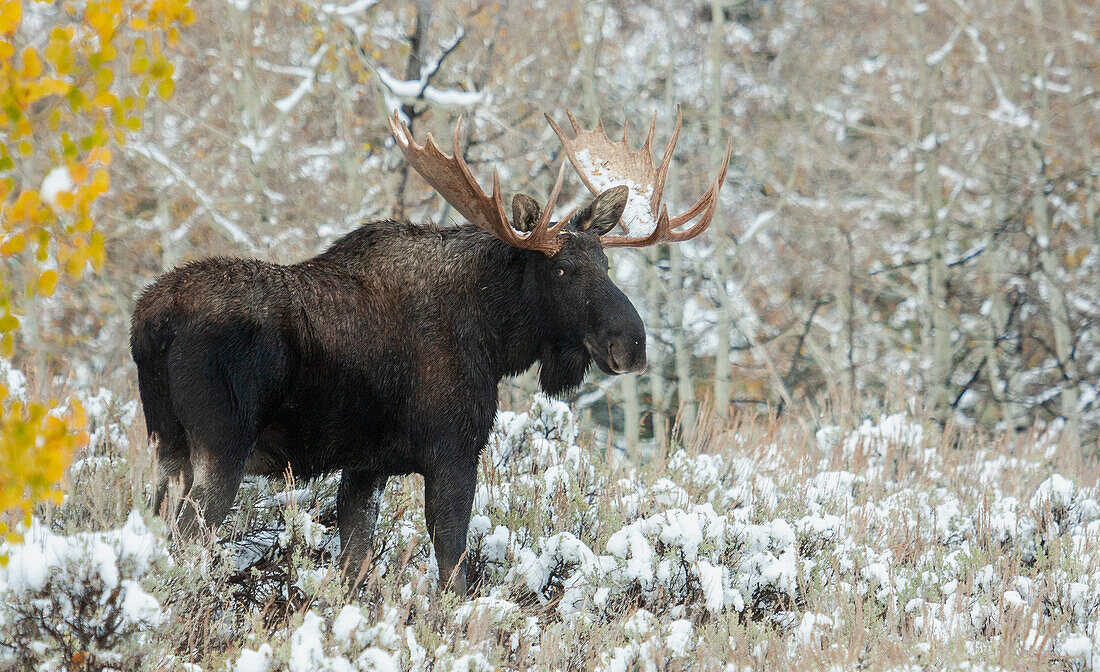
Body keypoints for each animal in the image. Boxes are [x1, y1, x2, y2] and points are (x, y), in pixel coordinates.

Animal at [130, 106, 730, 593]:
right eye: (561, 269)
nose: (632, 344)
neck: (495, 339)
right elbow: (452, 567)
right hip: (220, 445)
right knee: (185, 541)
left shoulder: (366, 466)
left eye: (605, 264)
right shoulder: (454, 448)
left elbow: (354, 567)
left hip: (166, 444)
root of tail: (148, 321)